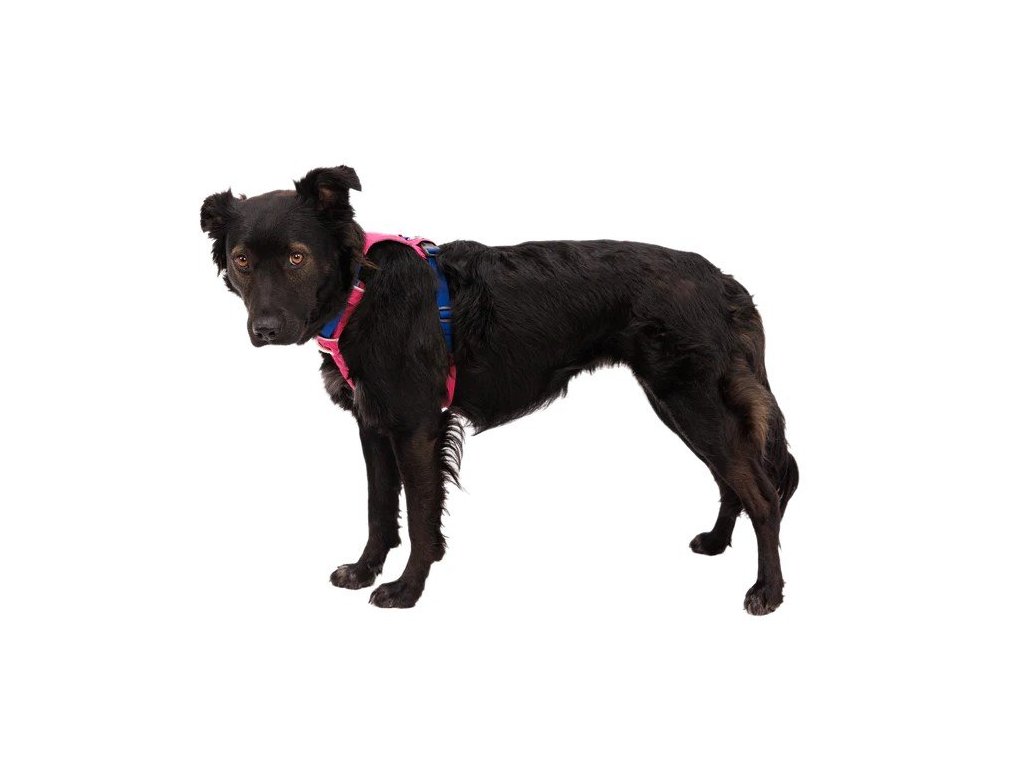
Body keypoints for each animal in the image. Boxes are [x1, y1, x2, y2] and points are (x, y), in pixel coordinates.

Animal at [199, 165, 799, 614]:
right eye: (242, 261)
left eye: (297, 256)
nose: (266, 329)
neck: (363, 292)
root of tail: (722, 281)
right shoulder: (373, 423)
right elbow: (379, 508)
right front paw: (366, 569)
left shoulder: (417, 424)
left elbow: (420, 515)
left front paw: (407, 588)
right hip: (680, 405)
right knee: (733, 481)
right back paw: (717, 543)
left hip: (692, 402)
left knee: (763, 494)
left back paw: (767, 591)